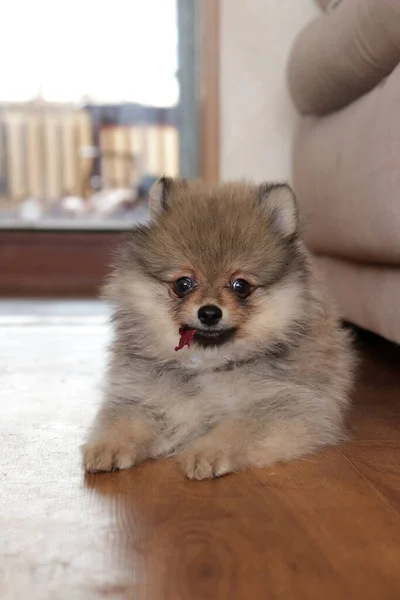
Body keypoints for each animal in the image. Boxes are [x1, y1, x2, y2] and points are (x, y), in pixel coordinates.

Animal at [83, 176, 354, 480]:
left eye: (241, 286)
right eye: (183, 284)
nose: (209, 312)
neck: (207, 362)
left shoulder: (286, 406)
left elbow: (235, 431)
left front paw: (206, 452)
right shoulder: (138, 396)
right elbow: (124, 420)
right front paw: (108, 446)